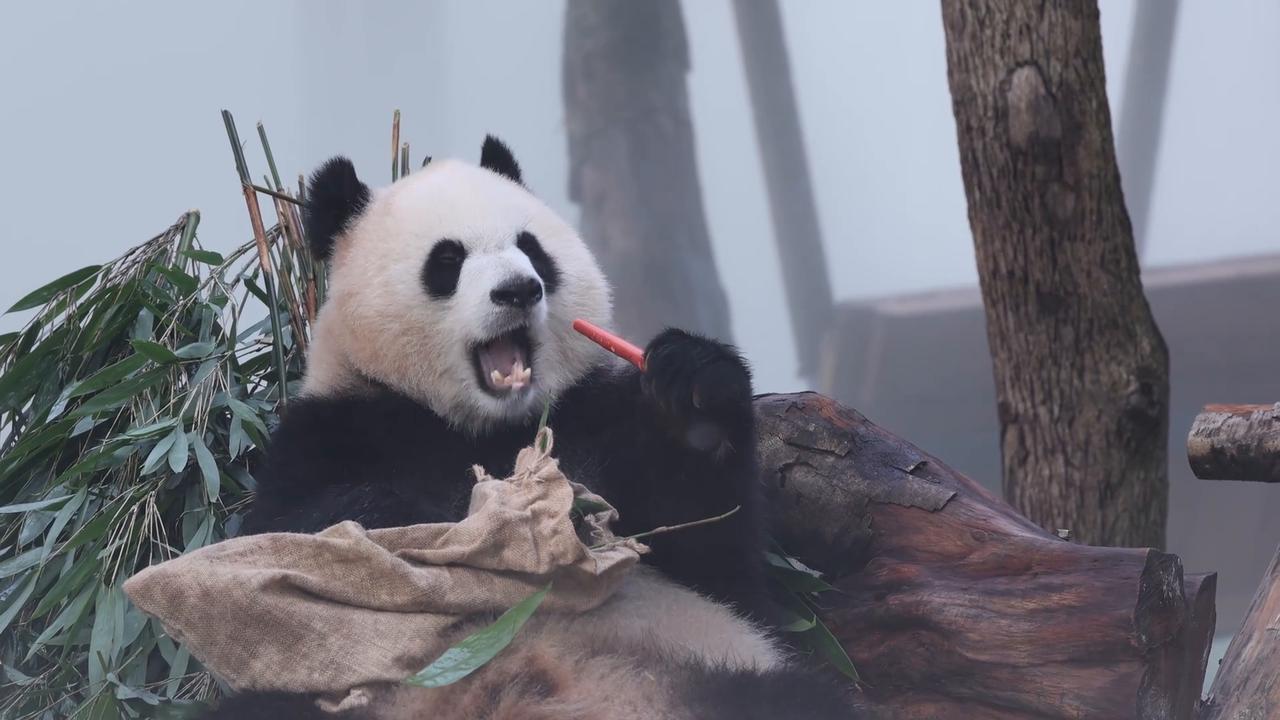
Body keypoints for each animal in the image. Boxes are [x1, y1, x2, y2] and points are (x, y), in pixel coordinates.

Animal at [206, 137, 856, 719]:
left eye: (532, 249)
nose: (519, 289)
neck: (487, 428)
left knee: (797, 700)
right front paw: (465, 519)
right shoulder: (330, 431)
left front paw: (693, 388)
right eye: (447, 260)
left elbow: (714, 546)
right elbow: (289, 544)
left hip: (718, 667)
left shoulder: (597, 418)